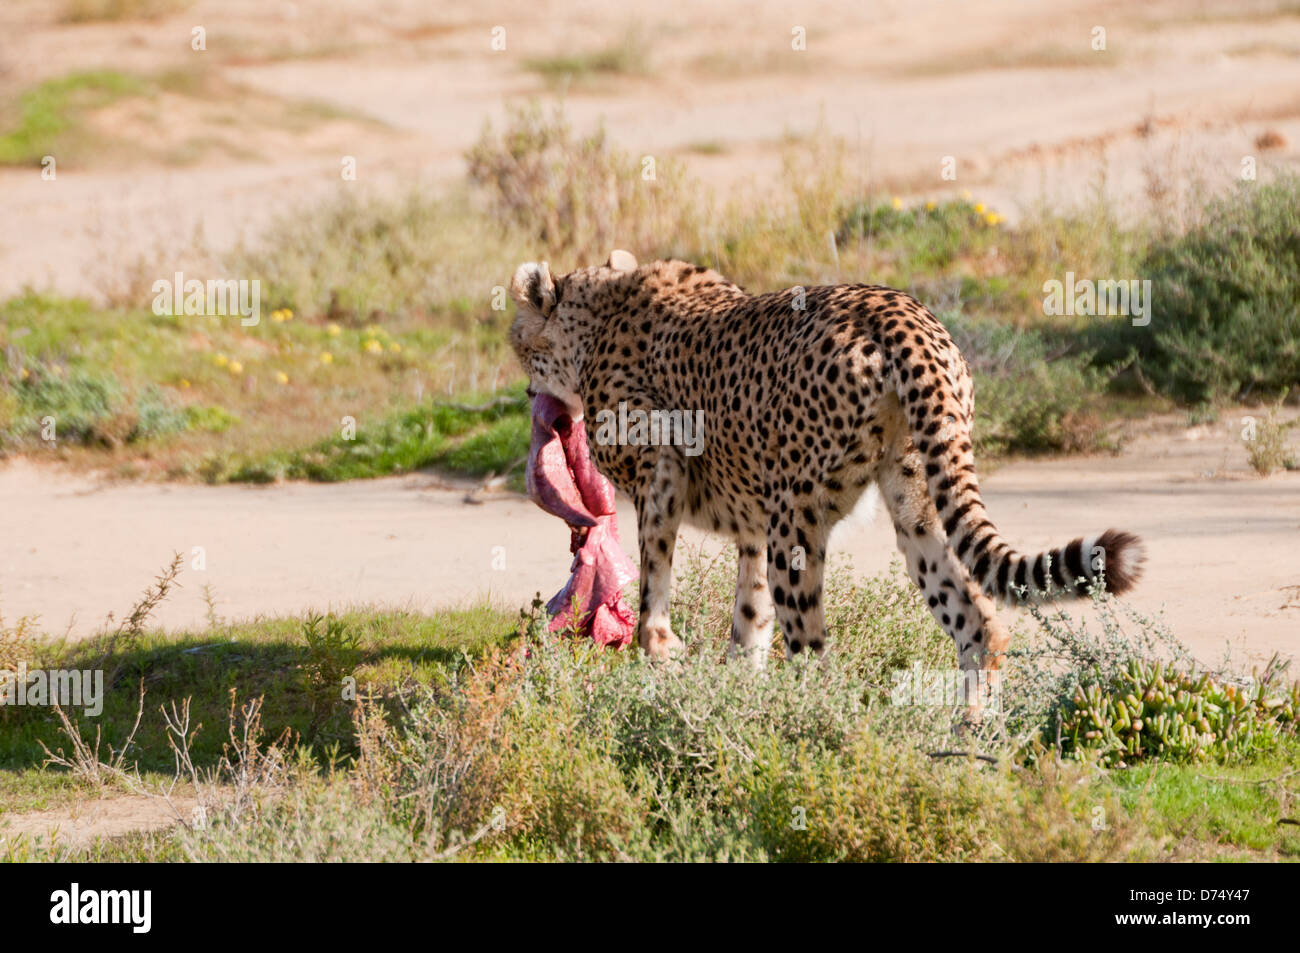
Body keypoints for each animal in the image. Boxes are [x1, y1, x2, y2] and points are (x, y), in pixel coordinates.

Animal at [509, 250, 1149, 686]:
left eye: (517, 342)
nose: (527, 394)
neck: (603, 312)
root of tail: (899, 310)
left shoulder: (663, 471)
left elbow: (655, 586)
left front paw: (662, 654)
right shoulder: (751, 522)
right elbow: (749, 620)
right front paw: (736, 694)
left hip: (798, 518)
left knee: (814, 652)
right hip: (917, 498)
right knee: (978, 622)